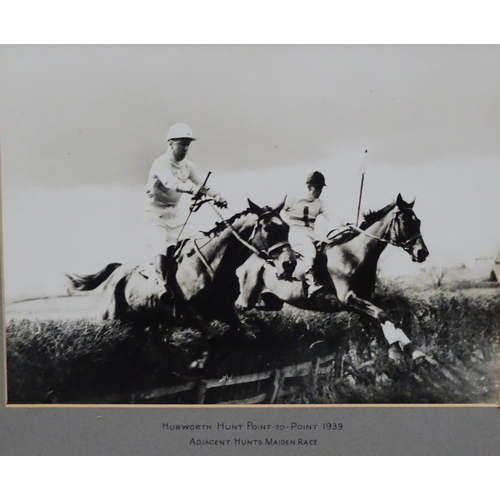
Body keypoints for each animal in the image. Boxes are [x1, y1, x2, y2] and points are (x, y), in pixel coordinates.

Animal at [64, 198, 294, 368]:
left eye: (287, 227)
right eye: (267, 228)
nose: (289, 264)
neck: (214, 264)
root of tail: (117, 270)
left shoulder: (225, 310)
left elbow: (239, 336)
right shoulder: (187, 313)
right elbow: (215, 337)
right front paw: (198, 363)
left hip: (145, 322)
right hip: (110, 318)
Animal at [234, 193, 430, 362]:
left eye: (418, 221)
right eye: (405, 221)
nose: (422, 253)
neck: (353, 254)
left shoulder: (367, 299)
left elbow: (385, 319)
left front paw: (412, 351)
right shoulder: (349, 299)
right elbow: (382, 315)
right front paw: (395, 351)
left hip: (271, 301)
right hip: (247, 298)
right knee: (237, 306)